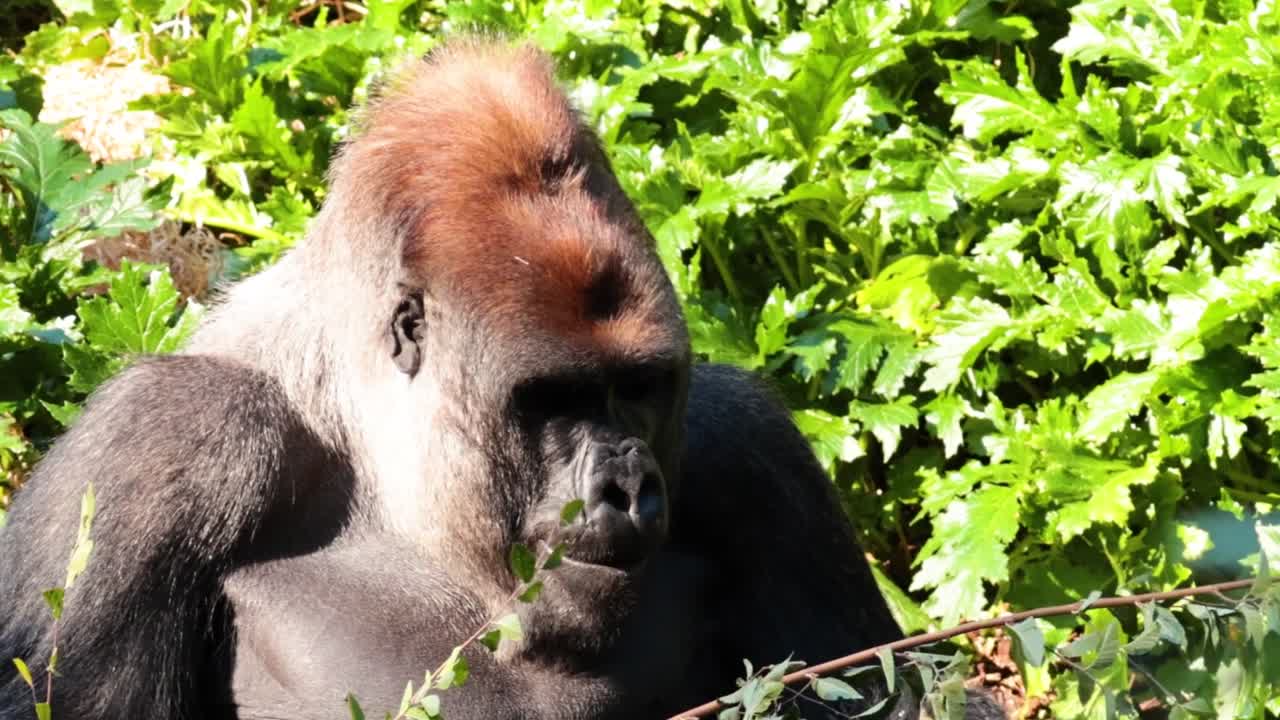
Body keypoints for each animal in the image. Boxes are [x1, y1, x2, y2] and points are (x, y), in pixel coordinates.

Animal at [0, 38, 1003, 720]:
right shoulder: (173, 443)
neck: (377, 461)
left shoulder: (751, 451)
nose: (628, 482)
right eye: (551, 399)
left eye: (637, 387)